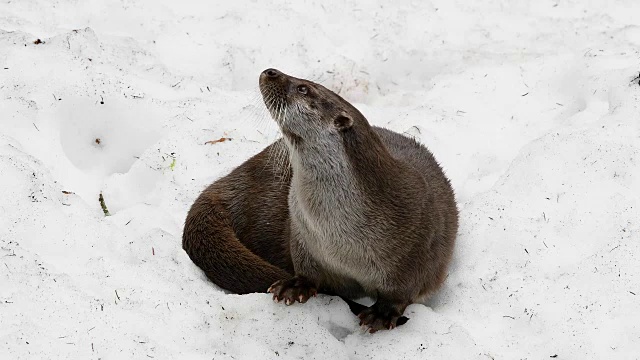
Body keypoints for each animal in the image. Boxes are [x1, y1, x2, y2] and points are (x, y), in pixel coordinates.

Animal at [182, 68, 458, 332]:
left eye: (304, 88)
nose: (271, 71)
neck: (339, 237)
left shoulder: (416, 248)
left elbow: (401, 292)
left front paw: (381, 314)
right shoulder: (302, 234)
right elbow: (306, 269)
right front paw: (295, 286)